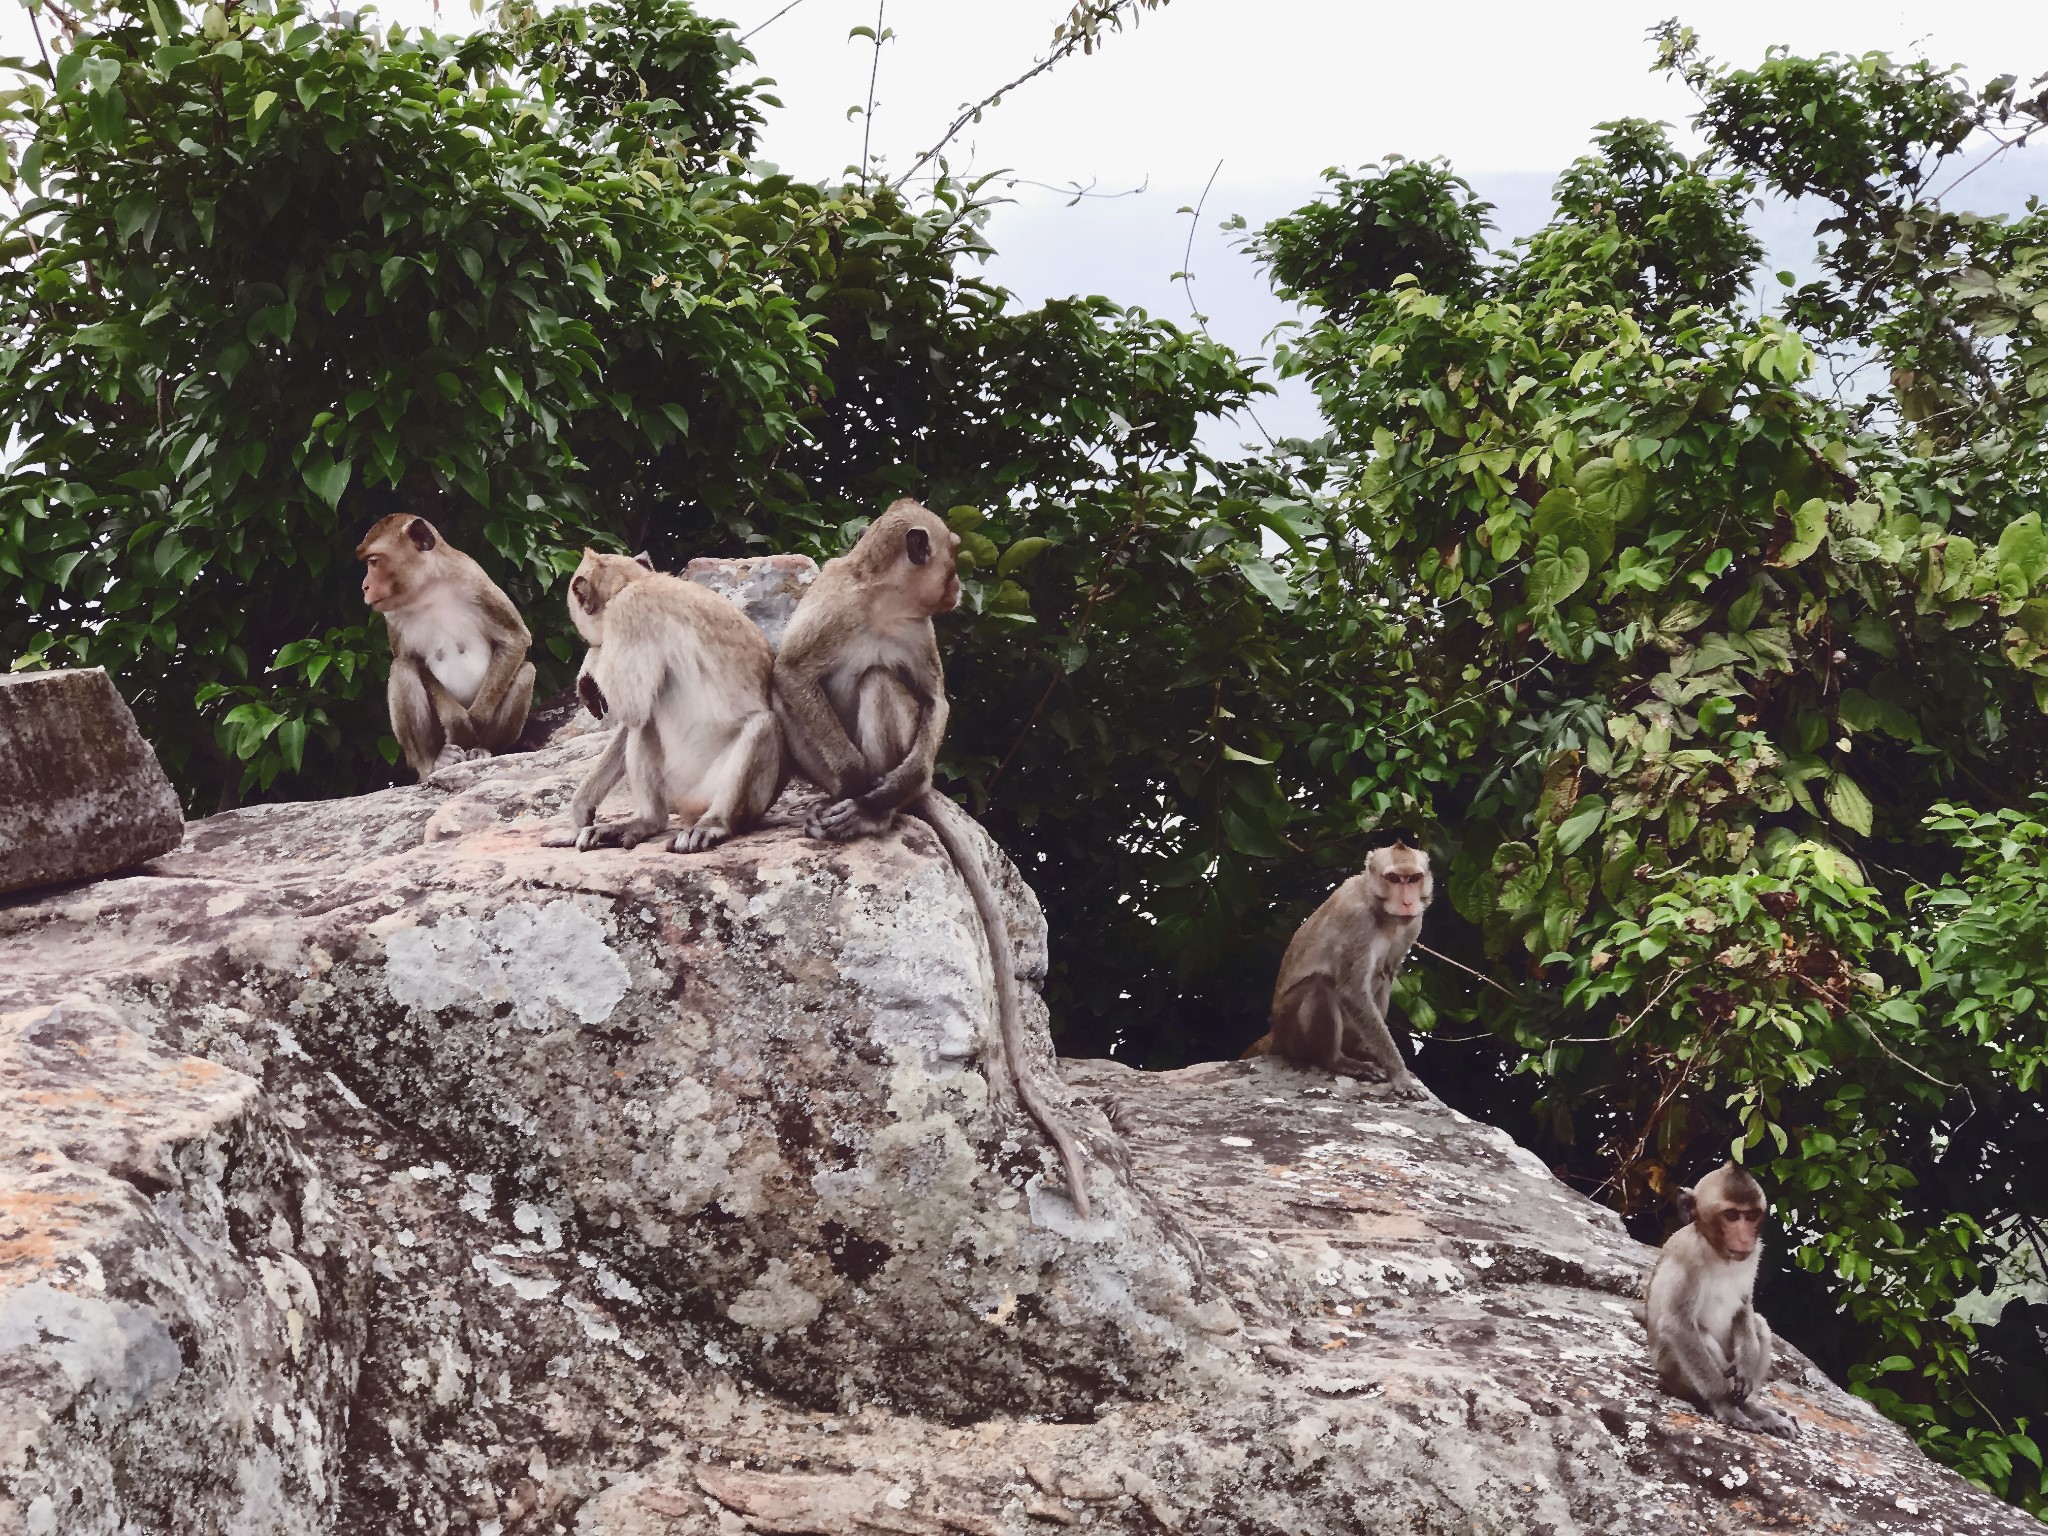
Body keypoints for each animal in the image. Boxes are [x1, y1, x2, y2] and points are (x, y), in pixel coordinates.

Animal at [544, 548, 782, 856]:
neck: (636, 582)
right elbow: (635, 717)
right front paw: (580, 812)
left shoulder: (629, 612)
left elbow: (632, 709)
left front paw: (591, 662)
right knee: (646, 725)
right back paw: (648, 821)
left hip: (720, 792)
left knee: (762, 725)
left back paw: (714, 824)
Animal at [1261, 847, 1441, 1097]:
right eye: (1394, 879)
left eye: (1414, 878)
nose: (1407, 902)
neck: (1380, 911)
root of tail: (1275, 1033)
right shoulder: (1357, 919)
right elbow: (1352, 992)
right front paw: (1400, 1075)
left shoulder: (1414, 924)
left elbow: (1387, 974)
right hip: (1291, 1032)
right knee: (1320, 986)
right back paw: (1337, 1060)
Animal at [1638, 1163, 1802, 1441]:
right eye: (1732, 1216)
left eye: (1751, 1216)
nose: (1745, 1238)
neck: (1719, 1253)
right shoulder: (1688, 1256)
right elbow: (1678, 1325)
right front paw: (1724, 1404)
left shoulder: (1754, 1255)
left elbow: (1744, 1307)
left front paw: (1745, 1369)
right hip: (1673, 1374)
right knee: (1699, 1336)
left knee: (1759, 1325)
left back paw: (1755, 1409)